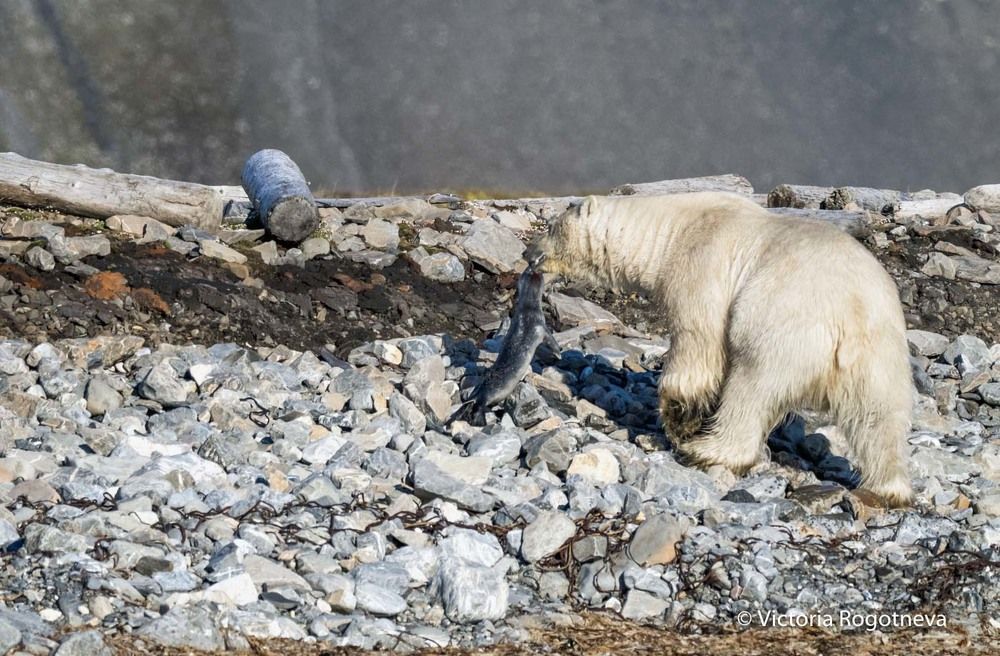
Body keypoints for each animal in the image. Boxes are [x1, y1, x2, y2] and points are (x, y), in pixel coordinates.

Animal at [528, 192, 913, 507]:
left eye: (552, 226)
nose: (529, 252)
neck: (671, 231)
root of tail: (851, 313)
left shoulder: (701, 264)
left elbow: (698, 341)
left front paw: (678, 421)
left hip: (781, 329)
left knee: (751, 388)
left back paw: (708, 451)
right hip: (884, 353)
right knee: (880, 419)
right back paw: (889, 488)